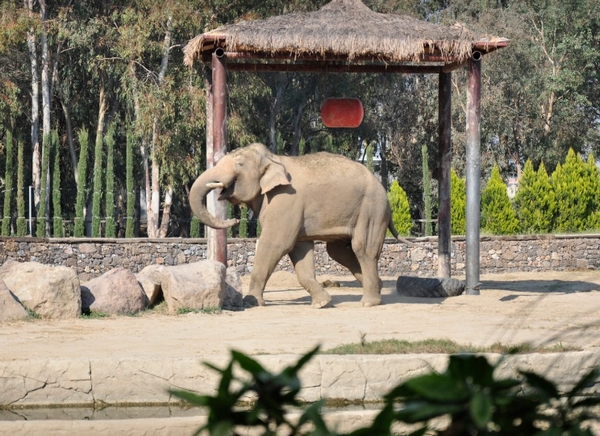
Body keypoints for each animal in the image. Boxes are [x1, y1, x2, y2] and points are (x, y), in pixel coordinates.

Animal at [188, 142, 404, 306]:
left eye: (239, 164)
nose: (235, 219)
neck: (273, 159)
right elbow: (300, 250)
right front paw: (322, 303)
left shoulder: (286, 200)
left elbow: (275, 244)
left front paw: (250, 301)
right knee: (338, 251)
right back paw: (379, 287)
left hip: (371, 210)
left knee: (363, 249)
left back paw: (369, 302)